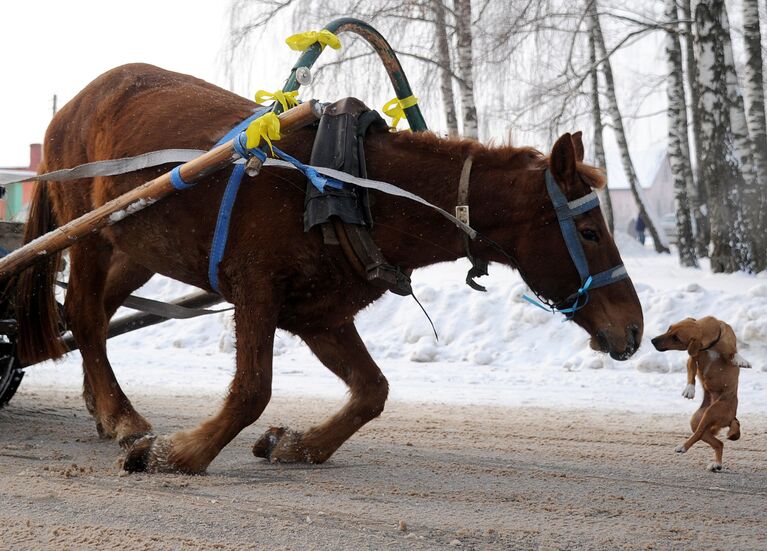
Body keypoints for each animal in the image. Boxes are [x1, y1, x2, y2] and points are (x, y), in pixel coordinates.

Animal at [15, 62, 644, 472]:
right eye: (590, 231)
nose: (634, 329)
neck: (350, 184)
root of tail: (75, 104)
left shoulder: (320, 314)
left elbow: (373, 391)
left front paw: (297, 444)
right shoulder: (256, 289)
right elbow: (252, 390)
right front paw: (179, 452)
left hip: (135, 250)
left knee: (94, 315)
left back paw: (104, 407)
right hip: (89, 234)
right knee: (86, 315)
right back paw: (122, 416)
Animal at [652, 316, 752, 472]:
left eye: (676, 338)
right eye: (669, 328)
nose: (653, 341)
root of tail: (731, 418)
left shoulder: (727, 346)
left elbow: (733, 352)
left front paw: (741, 359)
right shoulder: (692, 357)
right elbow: (691, 373)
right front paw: (689, 389)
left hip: (712, 411)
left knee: (699, 434)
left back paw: (683, 447)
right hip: (698, 420)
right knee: (714, 441)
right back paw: (717, 463)